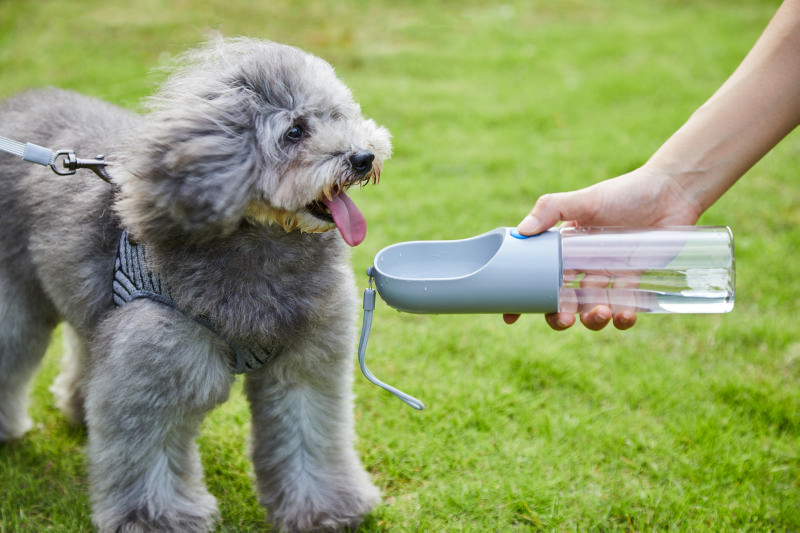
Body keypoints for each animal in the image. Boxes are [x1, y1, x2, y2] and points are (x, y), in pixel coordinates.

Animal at [0, 38, 390, 532]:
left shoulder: (306, 365)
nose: (363, 157)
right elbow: (149, 459)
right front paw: (156, 519)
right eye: (295, 132)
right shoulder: (154, 374)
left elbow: (307, 438)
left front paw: (325, 508)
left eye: (338, 115)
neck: (263, 244)